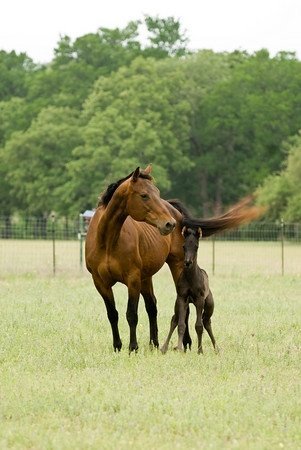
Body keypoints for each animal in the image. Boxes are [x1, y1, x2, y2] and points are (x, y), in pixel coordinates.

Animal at [85, 165, 262, 352]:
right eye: (144, 195)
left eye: (157, 192)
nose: (169, 223)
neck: (107, 241)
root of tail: (176, 213)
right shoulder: (101, 283)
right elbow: (113, 314)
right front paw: (117, 346)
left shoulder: (132, 279)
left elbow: (131, 314)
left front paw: (133, 347)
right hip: (146, 277)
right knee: (152, 307)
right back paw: (154, 343)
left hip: (177, 267)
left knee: (182, 308)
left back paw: (186, 342)